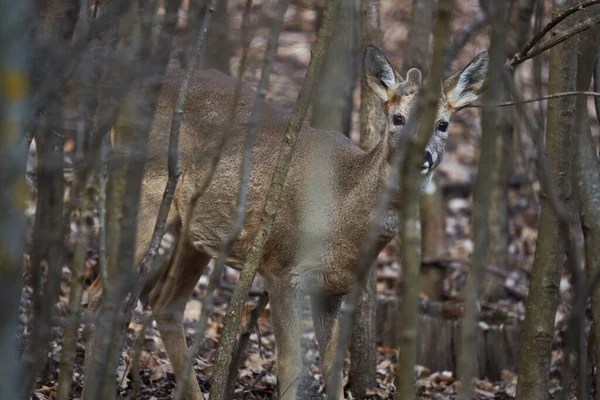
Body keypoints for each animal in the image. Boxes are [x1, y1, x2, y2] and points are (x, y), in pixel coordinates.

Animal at [84, 47, 488, 400]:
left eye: (443, 124)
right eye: (397, 118)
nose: (422, 157)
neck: (342, 211)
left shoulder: (333, 290)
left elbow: (333, 372)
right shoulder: (280, 267)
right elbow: (290, 368)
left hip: (195, 229)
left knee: (164, 302)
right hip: (146, 193)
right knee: (99, 295)